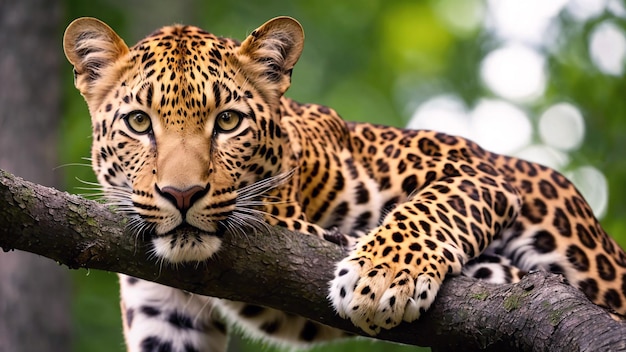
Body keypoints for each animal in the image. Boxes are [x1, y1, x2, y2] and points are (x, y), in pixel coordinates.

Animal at [62, 15, 624, 350]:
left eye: (228, 122)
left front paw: (382, 277)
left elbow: (432, 207)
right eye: (139, 122)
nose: (181, 195)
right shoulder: (165, 314)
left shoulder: (476, 167)